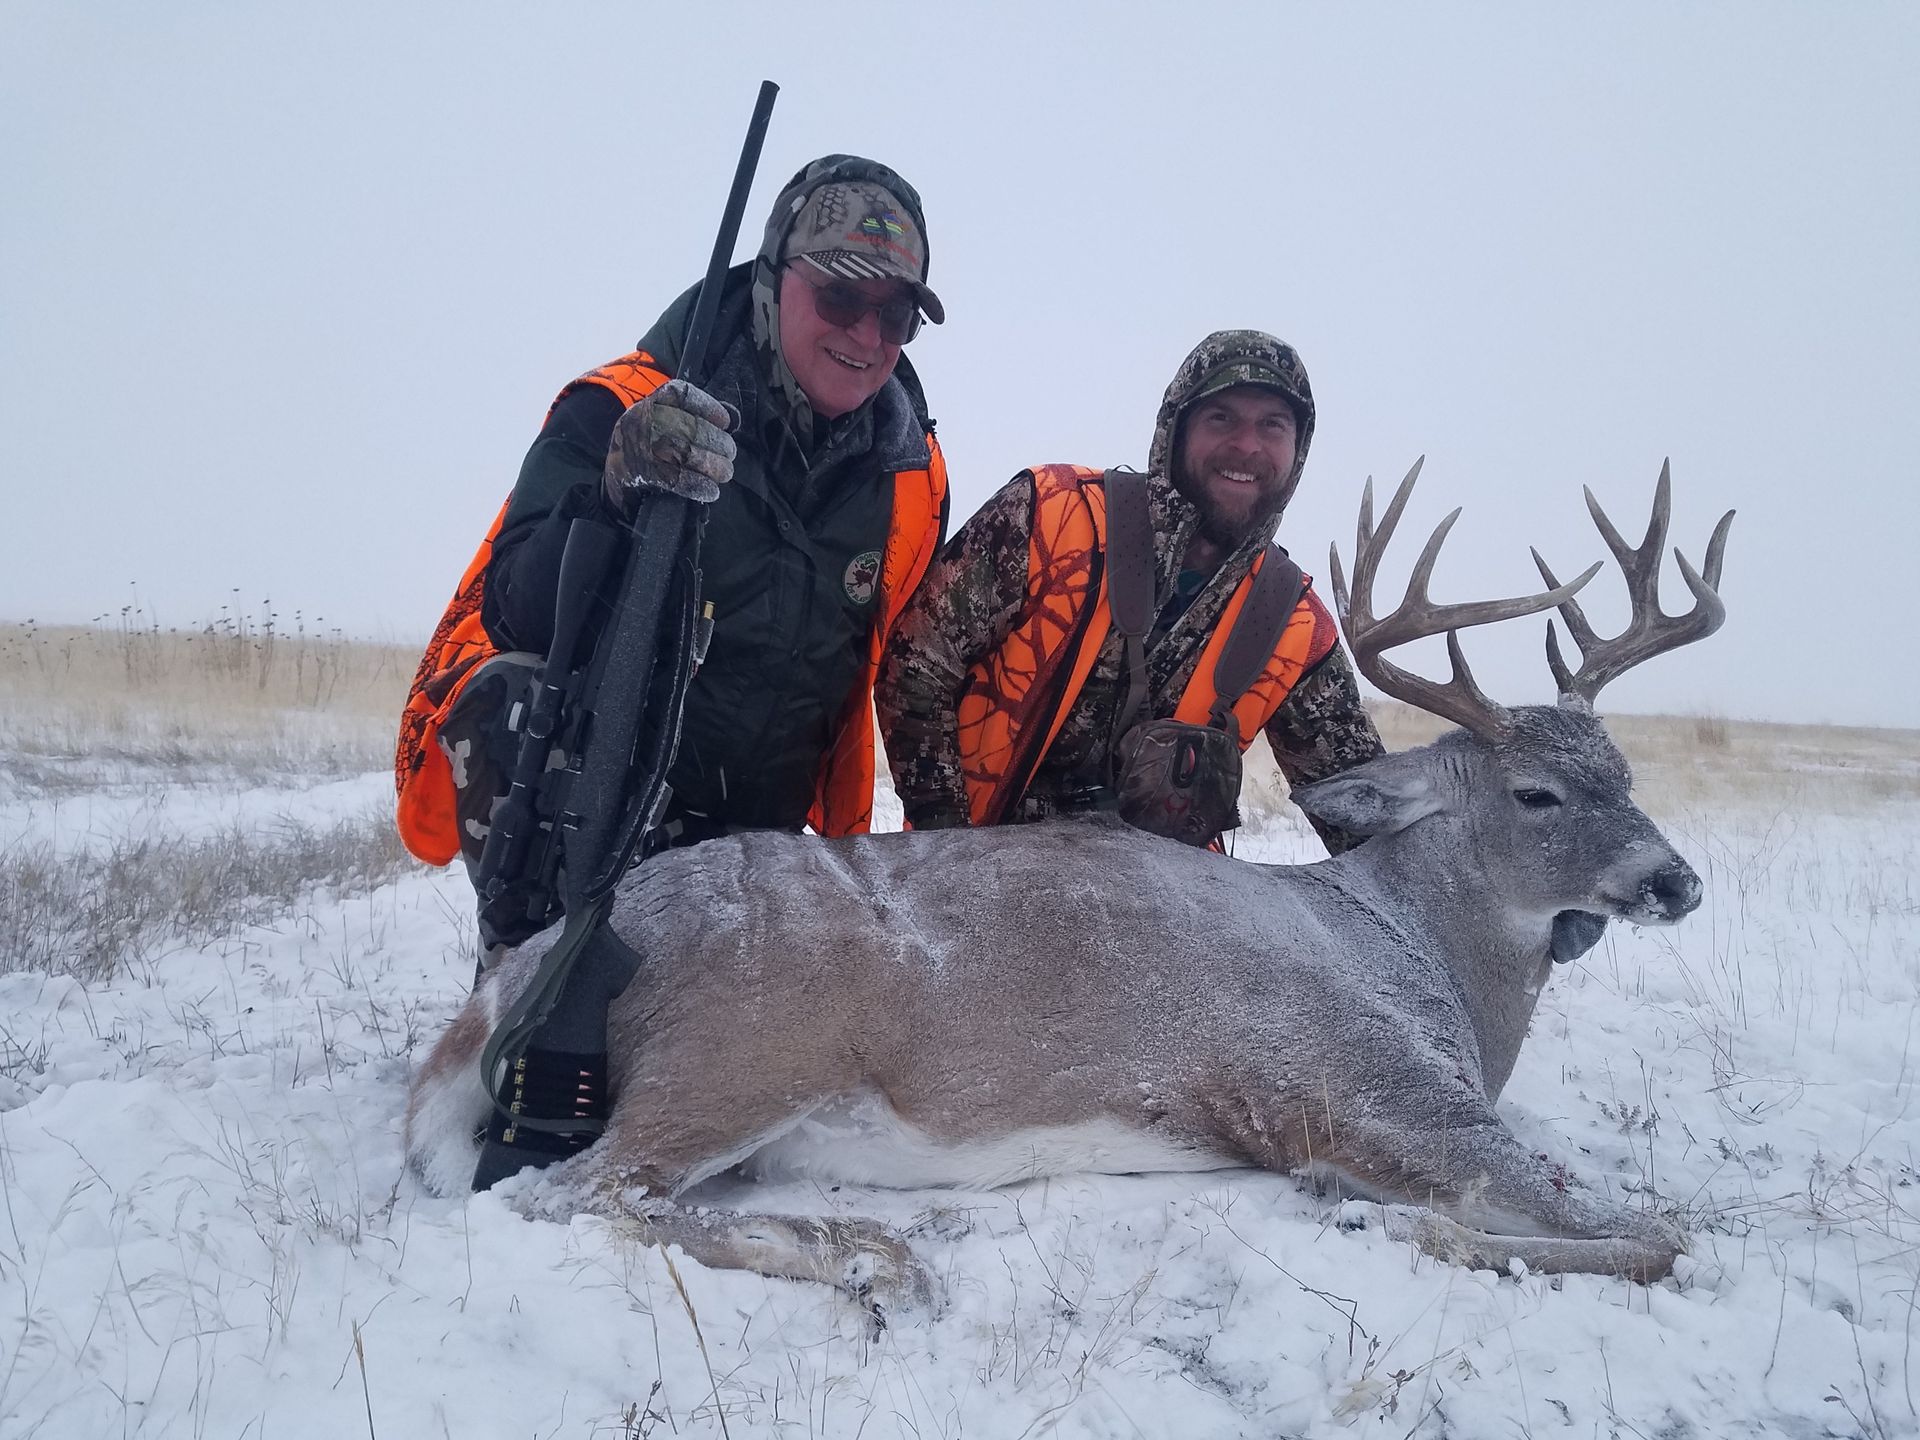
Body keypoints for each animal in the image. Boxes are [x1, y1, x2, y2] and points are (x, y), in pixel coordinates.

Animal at [406, 460, 1734, 1312]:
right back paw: (878, 1254)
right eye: (1536, 795)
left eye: (1624, 773)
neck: (1418, 955)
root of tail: (519, 977)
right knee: (565, 1192)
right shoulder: (1360, 1088)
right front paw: (1393, 1220)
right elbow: (1658, 1232)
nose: (1677, 882)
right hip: (744, 1048)